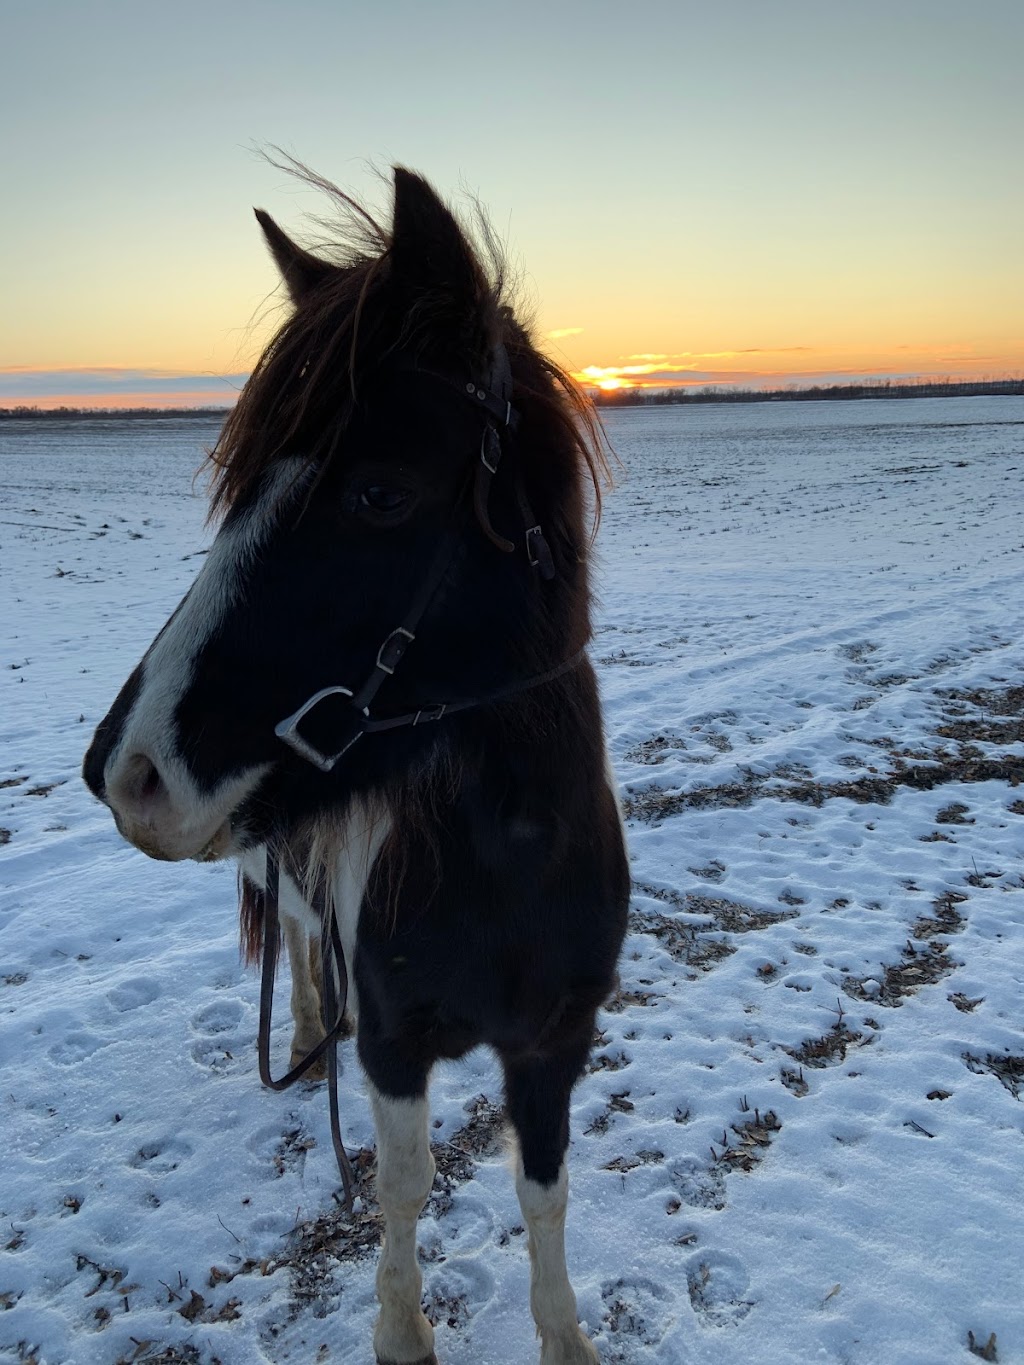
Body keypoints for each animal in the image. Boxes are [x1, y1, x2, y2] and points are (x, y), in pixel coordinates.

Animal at [86, 162, 633, 1365]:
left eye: (379, 492)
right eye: (240, 487)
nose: (127, 772)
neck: (506, 866)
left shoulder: (554, 1042)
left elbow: (545, 1193)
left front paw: (563, 1337)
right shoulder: (394, 1045)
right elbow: (402, 1183)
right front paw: (401, 1332)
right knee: (294, 942)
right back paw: (301, 1032)